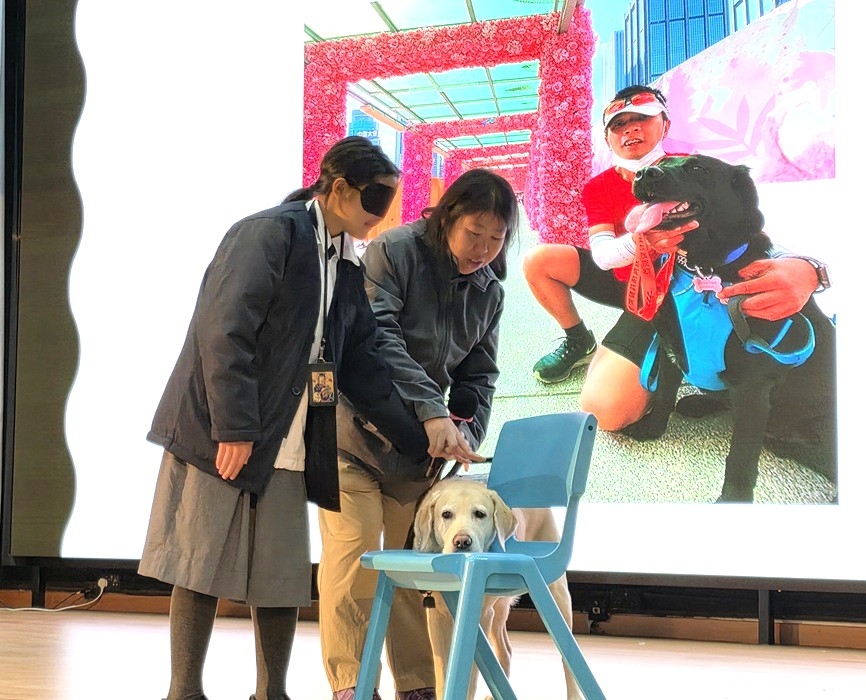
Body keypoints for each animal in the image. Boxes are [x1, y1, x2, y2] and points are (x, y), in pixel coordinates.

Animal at [413, 477, 580, 700]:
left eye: (480, 514)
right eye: (446, 514)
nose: (462, 541)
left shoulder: (479, 616)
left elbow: (472, 672)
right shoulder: (438, 616)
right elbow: (442, 668)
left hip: (556, 594)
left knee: (567, 657)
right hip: (498, 612)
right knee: (505, 650)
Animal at [622, 154, 837, 502]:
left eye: (698, 168)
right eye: (663, 160)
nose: (642, 173)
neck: (705, 270)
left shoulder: (753, 389)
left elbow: (740, 457)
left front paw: (733, 499)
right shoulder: (671, 349)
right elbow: (664, 396)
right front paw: (650, 429)